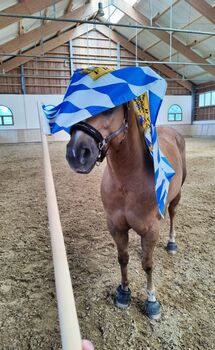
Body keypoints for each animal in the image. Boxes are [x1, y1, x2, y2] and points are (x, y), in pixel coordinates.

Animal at [66, 101, 186, 320]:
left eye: (111, 107)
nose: (76, 153)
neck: (127, 180)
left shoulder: (151, 229)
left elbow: (148, 264)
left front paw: (152, 301)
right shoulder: (116, 226)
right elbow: (123, 259)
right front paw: (123, 292)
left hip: (177, 194)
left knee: (173, 214)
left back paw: (172, 243)